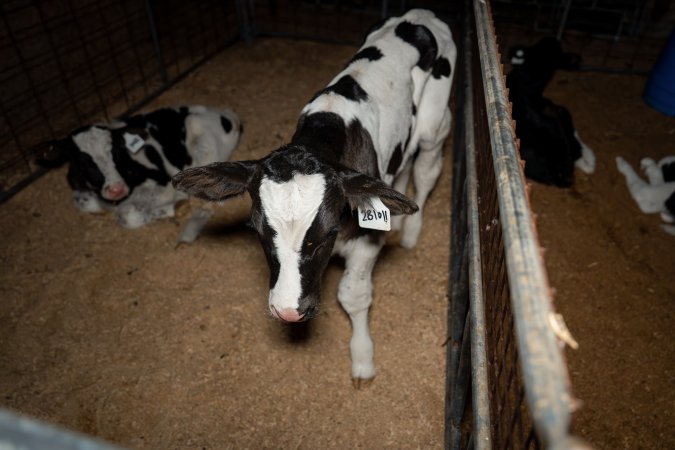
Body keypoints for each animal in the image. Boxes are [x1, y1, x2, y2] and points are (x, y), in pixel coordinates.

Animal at [39, 105, 242, 229]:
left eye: (116, 152)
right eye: (81, 161)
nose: (116, 189)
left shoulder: (164, 185)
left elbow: (128, 215)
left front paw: (175, 206)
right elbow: (83, 202)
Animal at [172, 9, 456, 384]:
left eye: (329, 232)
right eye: (257, 230)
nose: (288, 311)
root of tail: (419, 15)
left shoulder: (366, 239)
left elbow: (353, 295)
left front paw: (363, 360)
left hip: (435, 125)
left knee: (426, 171)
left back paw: (411, 232)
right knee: (405, 166)